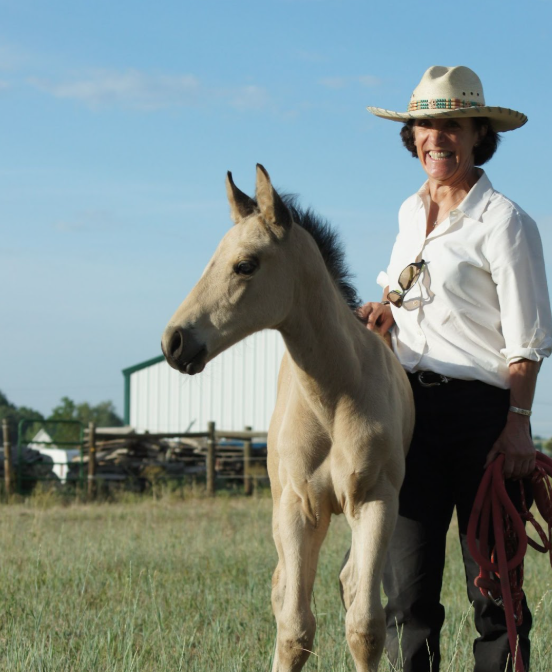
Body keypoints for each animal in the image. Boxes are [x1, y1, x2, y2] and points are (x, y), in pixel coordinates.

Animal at [161, 165, 414, 672]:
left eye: (245, 265)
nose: (174, 342)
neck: (334, 397)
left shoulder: (376, 501)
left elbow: (365, 625)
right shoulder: (299, 508)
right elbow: (295, 627)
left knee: (349, 583)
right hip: (286, 510)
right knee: (285, 592)